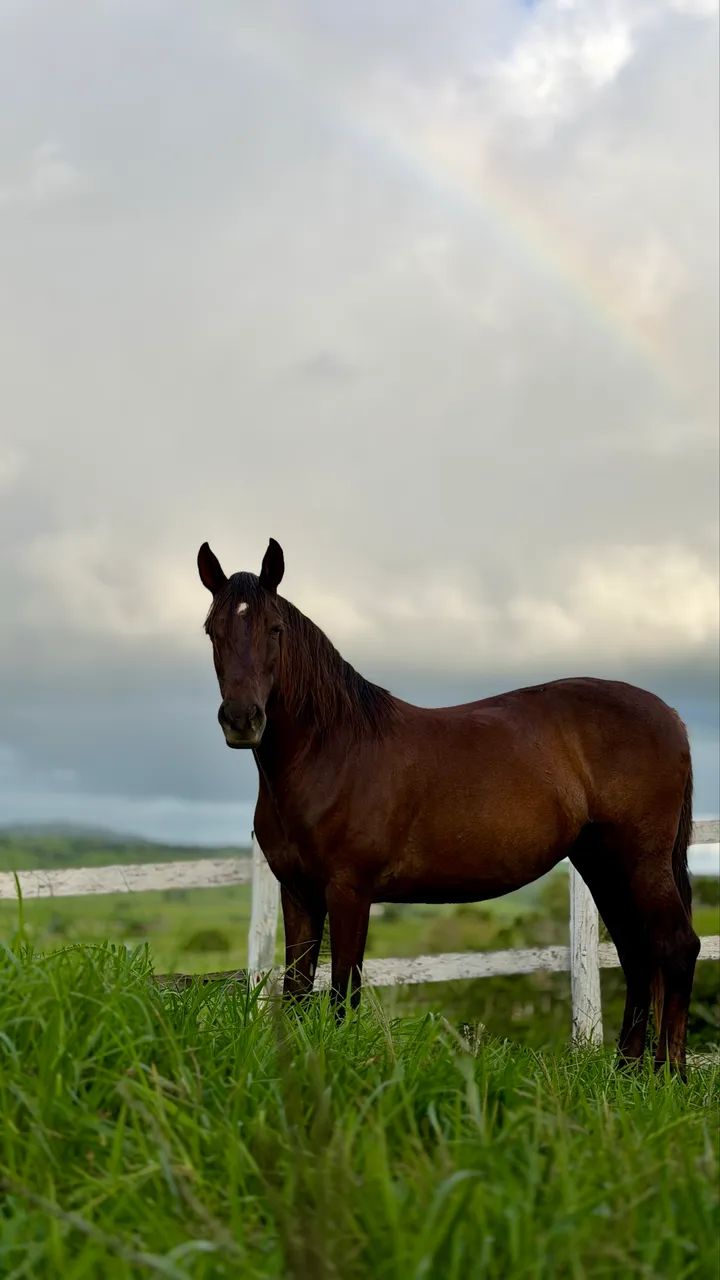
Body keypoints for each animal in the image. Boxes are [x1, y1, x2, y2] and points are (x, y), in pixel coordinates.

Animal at [197, 537, 700, 1074]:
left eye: (274, 629)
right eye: (213, 630)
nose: (242, 719)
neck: (330, 751)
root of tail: (669, 715)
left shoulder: (349, 891)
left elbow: (343, 992)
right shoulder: (298, 893)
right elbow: (296, 989)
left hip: (640, 860)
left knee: (677, 946)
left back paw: (669, 1076)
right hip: (602, 862)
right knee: (637, 953)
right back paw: (626, 1073)